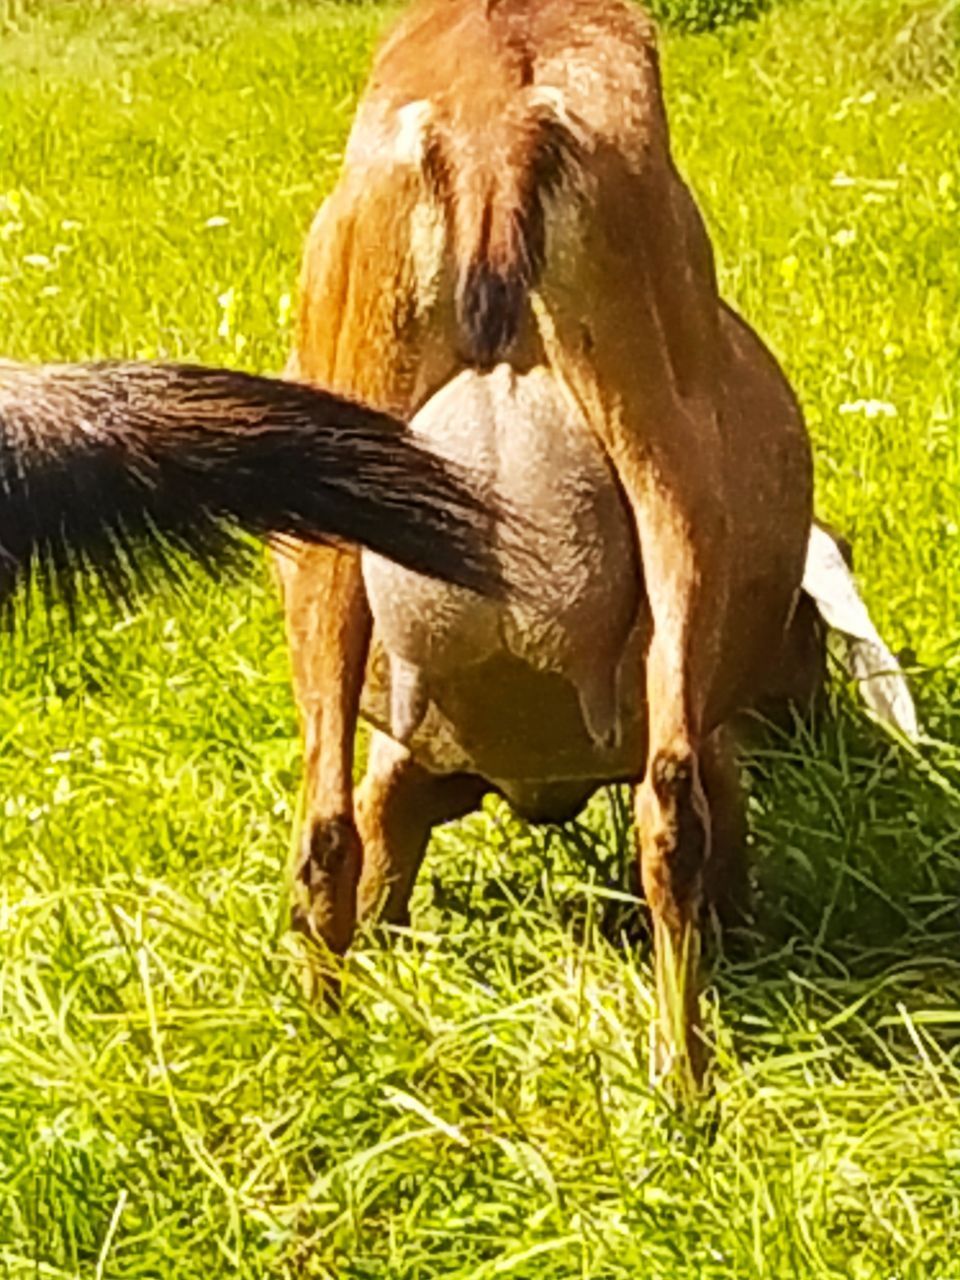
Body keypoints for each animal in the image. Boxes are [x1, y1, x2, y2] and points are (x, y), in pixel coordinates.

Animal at [277, 2, 901, 1100]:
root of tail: (494, 119)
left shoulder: (406, 761)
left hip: (332, 516)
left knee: (324, 832)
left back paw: (330, 1056)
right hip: (674, 484)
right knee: (674, 812)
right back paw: (685, 1083)